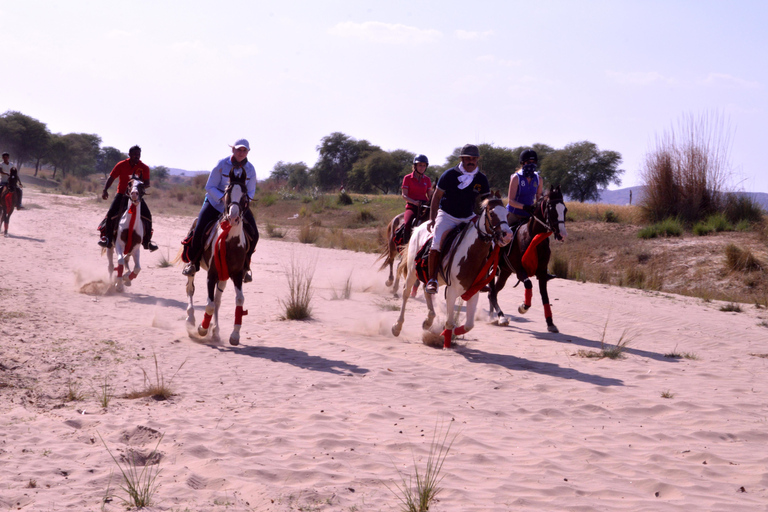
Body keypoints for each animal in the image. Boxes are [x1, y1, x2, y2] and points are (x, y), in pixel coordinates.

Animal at [184, 173, 254, 348]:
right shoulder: (212, 274)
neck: (230, 243)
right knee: (190, 289)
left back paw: (215, 331)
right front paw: (202, 328)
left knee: (217, 300)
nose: (234, 216)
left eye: (244, 195)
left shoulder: (236, 275)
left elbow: (239, 300)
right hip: (193, 265)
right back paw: (191, 320)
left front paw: (235, 335)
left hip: (224, 277)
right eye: (227, 192)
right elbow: (208, 305)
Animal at [392, 192, 512, 348]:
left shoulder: (473, 292)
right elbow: (449, 322)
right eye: (492, 213)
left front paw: (451, 331)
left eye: (506, 213)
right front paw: (446, 342)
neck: (470, 254)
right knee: (406, 293)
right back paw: (397, 327)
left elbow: (469, 325)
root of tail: (419, 227)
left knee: (427, 290)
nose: (508, 235)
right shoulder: (451, 291)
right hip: (413, 271)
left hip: (433, 276)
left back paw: (428, 320)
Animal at [488, 186, 568, 334]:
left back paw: (495, 316)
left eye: (564, 209)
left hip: (505, 272)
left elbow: (545, 296)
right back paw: (501, 317)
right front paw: (523, 307)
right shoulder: (520, 270)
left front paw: (550, 323)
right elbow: (529, 285)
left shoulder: (542, 273)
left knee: (493, 292)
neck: (534, 238)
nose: (562, 235)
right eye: (551, 209)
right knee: (491, 291)